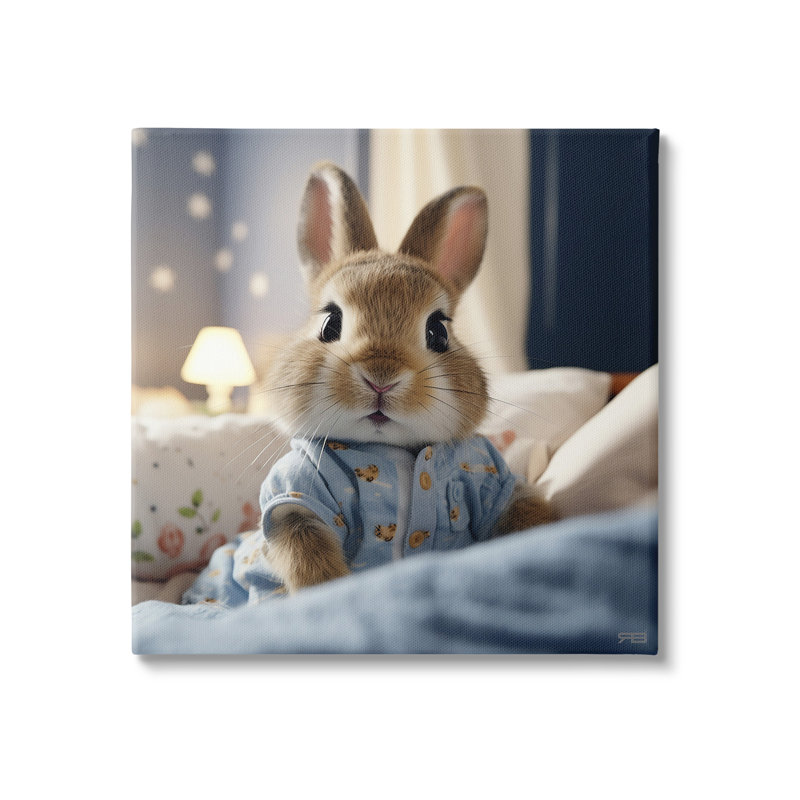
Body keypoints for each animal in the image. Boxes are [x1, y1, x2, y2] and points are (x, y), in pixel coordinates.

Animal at [258, 162, 555, 594]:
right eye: (330, 323)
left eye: (439, 332)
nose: (381, 378)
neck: (392, 451)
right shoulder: (296, 496)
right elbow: (306, 550)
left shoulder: (496, 481)